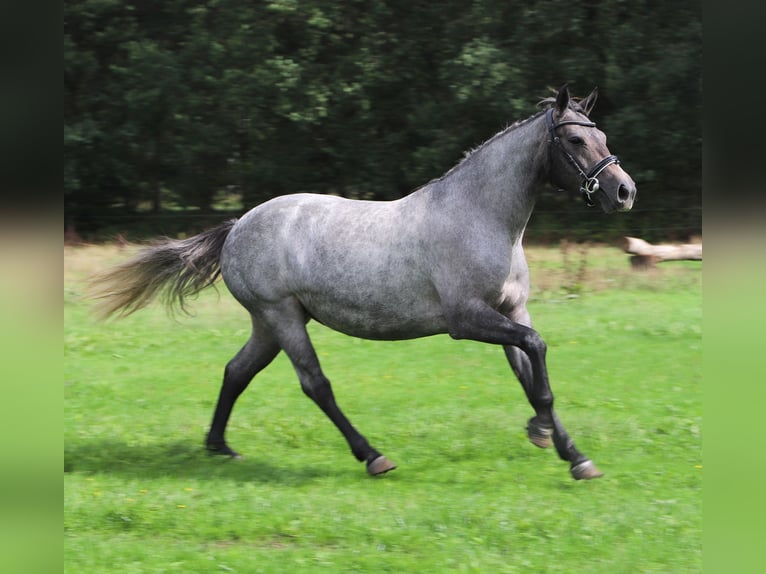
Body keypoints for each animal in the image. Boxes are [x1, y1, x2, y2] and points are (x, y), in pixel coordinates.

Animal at [90, 84, 636, 480]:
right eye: (574, 140)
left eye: (604, 136)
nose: (624, 192)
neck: (480, 217)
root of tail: (238, 225)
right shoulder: (467, 319)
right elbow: (537, 354)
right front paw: (543, 435)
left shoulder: (510, 312)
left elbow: (534, 379)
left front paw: (573, 455)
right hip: (282, 316)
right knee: (315, 385)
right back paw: (373, 456)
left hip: (270, 324)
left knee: (236, 371)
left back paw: (219, 447)